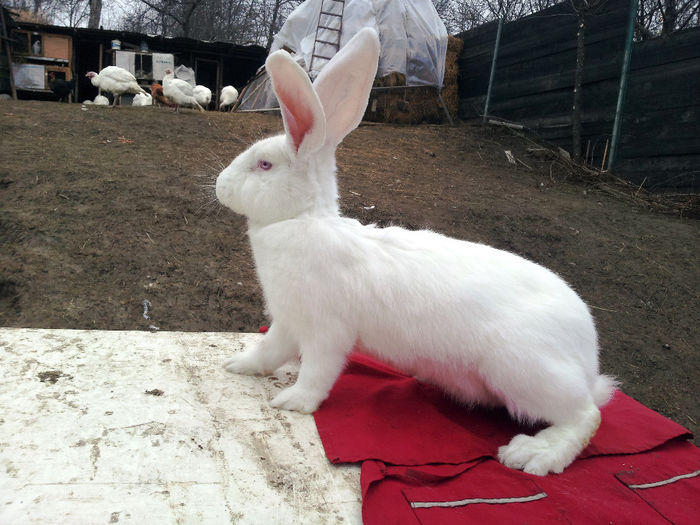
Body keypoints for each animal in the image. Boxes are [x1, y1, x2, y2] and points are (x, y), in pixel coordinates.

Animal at [216, 27, 616, 474]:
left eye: (264, 165)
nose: (220, 186)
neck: (302, 221)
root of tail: (588, 361)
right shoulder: (287, 322)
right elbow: (269, 351)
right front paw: (239, 365)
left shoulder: (326, 330)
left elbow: (318, 371)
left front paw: (293, 402)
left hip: (524, 370)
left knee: (586, 416)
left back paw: (533, 454)